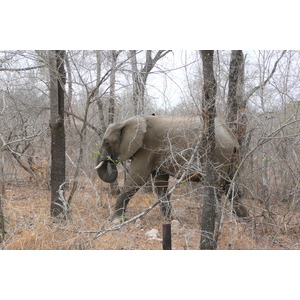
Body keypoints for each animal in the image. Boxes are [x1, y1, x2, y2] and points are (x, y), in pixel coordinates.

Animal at [96, 115, 248, 223]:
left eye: (107, 142)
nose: (110, 160)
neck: (127, 122)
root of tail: (231, 137)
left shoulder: (146, 149)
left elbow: (136, 179)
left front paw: (114, 220)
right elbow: (160, 185)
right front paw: (168, 220)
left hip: (218, 154)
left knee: (217, 188)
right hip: (232, 158)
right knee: (232, 188)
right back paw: (245, 222)